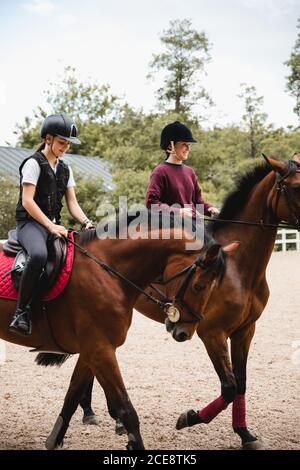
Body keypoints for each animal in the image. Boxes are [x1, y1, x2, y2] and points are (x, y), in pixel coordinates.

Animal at [0, 215, 233, 450]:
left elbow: (72, 395)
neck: (108, 271)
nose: (185, 332)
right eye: (198, 286)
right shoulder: (100, 351)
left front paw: (55, 439)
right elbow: (127, 410)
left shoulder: (91, 351)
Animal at [67, 156, 300, 450]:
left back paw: (106, 417)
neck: (237, 267)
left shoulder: (245, 331)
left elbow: (241, 383)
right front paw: (190, 418)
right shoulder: (212, 333)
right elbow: (229, 386)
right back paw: (93, 413)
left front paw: (245, 433)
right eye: (296, 187)